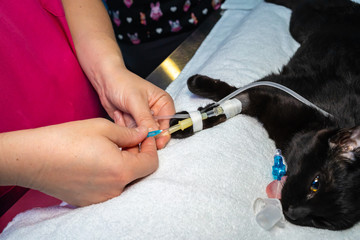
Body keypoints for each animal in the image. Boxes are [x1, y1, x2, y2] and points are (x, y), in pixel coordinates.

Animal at [170, 0, 360, 230]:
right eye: (316, 184)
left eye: (322, 222)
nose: (293, 213)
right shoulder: (270, 90)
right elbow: (228, 99)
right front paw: (186, 118)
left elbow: (232, 102)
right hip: (300, 24)